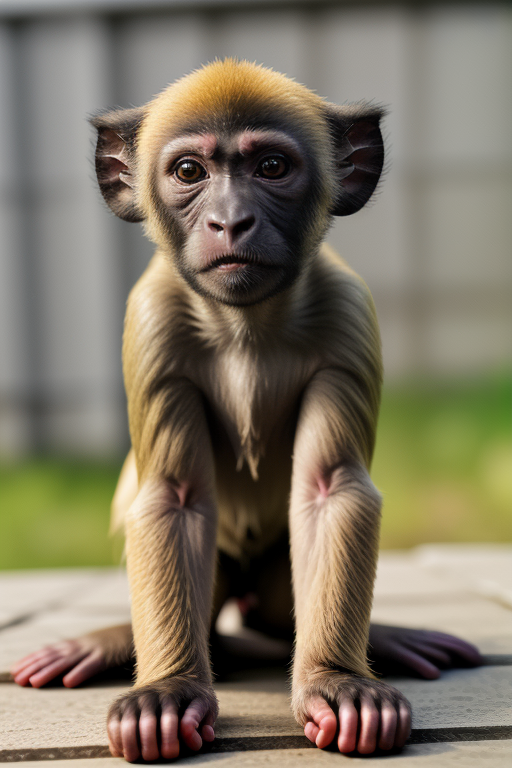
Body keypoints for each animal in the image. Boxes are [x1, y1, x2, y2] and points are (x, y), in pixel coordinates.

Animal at [12, 60, 482, 759]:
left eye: (271, 167)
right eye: (189, 172)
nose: (230, 222)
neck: (245, 326)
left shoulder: (346, 315)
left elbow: (329, 491)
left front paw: (337, 680)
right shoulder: (152, 325)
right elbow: (174, 499)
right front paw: (168, 689)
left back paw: (375, 639)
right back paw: (124, 642)